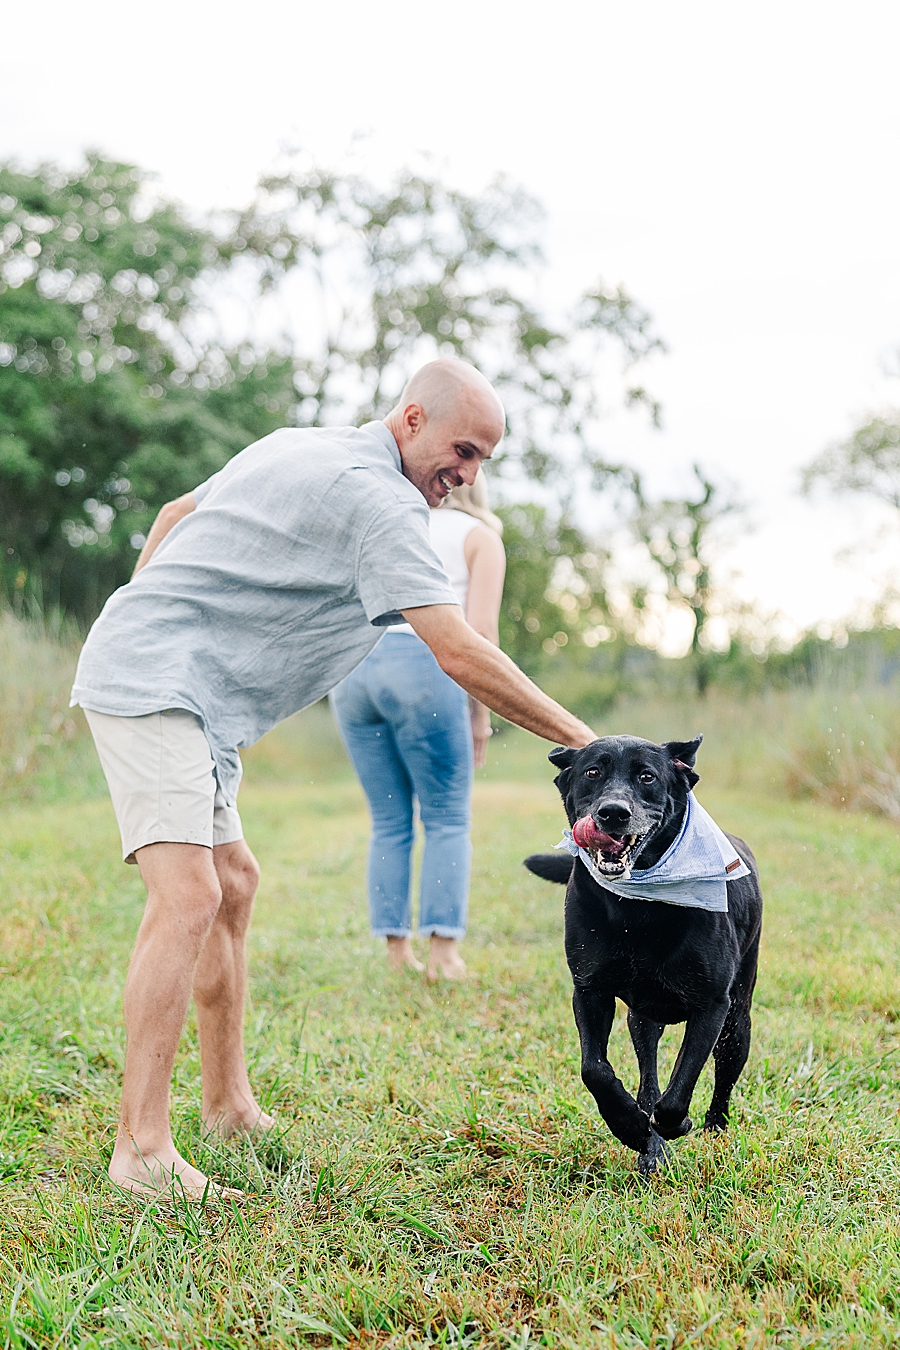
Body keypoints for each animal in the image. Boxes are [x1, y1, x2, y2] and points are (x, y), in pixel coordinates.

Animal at [523, 739, 766, 1171]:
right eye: (592, 772)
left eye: (647, 777)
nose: (613, 813)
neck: (636, 909)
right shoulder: (590, 991)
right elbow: (595, 1070)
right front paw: (631, 1128)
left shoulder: (711, 1007)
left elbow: (679, 1089)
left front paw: (674, 1125)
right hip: (642, 1020)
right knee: (648, 1075)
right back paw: (650, 1141)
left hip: (737, 1021)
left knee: (722, 1075)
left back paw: (713, 1127)